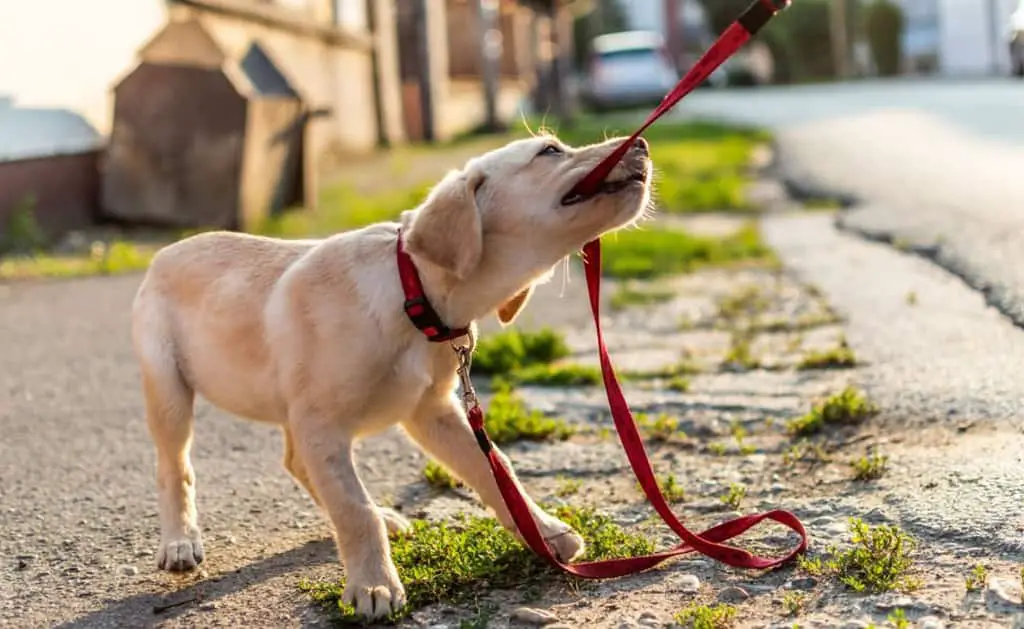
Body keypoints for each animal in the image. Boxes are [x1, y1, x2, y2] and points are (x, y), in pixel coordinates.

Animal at [132, 130, 651, 618]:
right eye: (549, 151)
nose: (643, 143)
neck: (412, 294)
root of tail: (164, 253)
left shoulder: (432, 412)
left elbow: (496, 469)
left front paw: (544, 531)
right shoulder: (322, 422)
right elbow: (354, 509)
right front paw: (373, 586)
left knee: (297, 463)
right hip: (171, 392)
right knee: (174, 467)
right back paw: (180, 542)